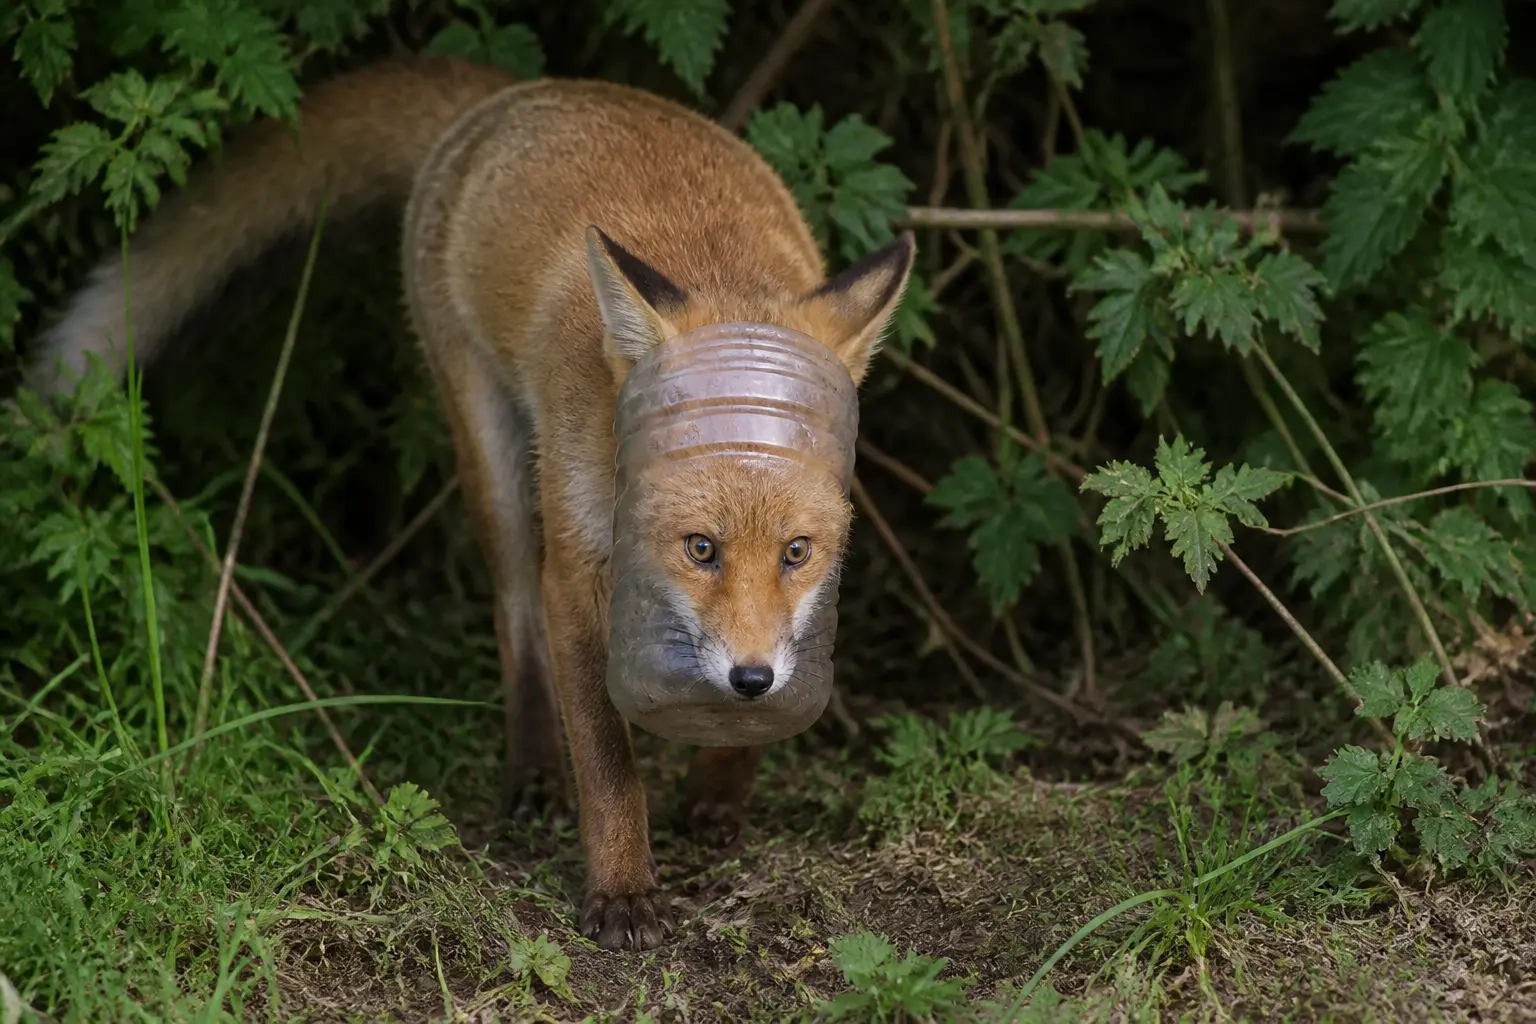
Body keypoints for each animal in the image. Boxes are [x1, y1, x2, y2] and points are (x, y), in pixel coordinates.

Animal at [25, 54, 915, 952]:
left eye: (796, 552)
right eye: (700, 547)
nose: (749, 679)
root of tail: (520, 92)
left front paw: (720, 792)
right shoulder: (576, 573)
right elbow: (607, 760)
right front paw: (623, 889)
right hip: (494, 459)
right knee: (512, 615)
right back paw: (535, 774)